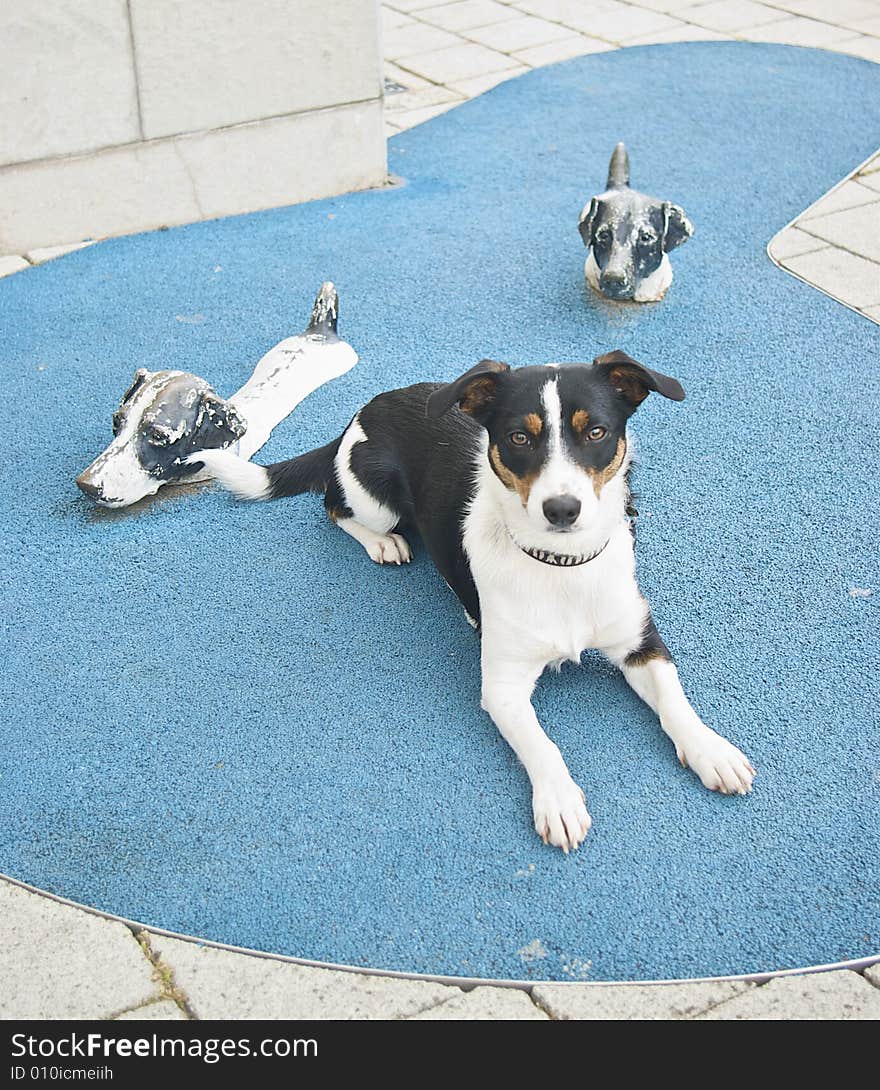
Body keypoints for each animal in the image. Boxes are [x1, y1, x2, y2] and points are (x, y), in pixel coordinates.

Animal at [194, 350, 758, 850]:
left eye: (596, 432)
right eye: (518, 437)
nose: (562, 509)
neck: (561, 566)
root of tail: (368, 407)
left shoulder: (642, 644)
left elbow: (676, 703)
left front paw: (710, 749)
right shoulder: (503, 686)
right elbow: (542, 744)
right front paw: (557, 799)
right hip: (375, 499)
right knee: (333, 506)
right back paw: (382, 543)